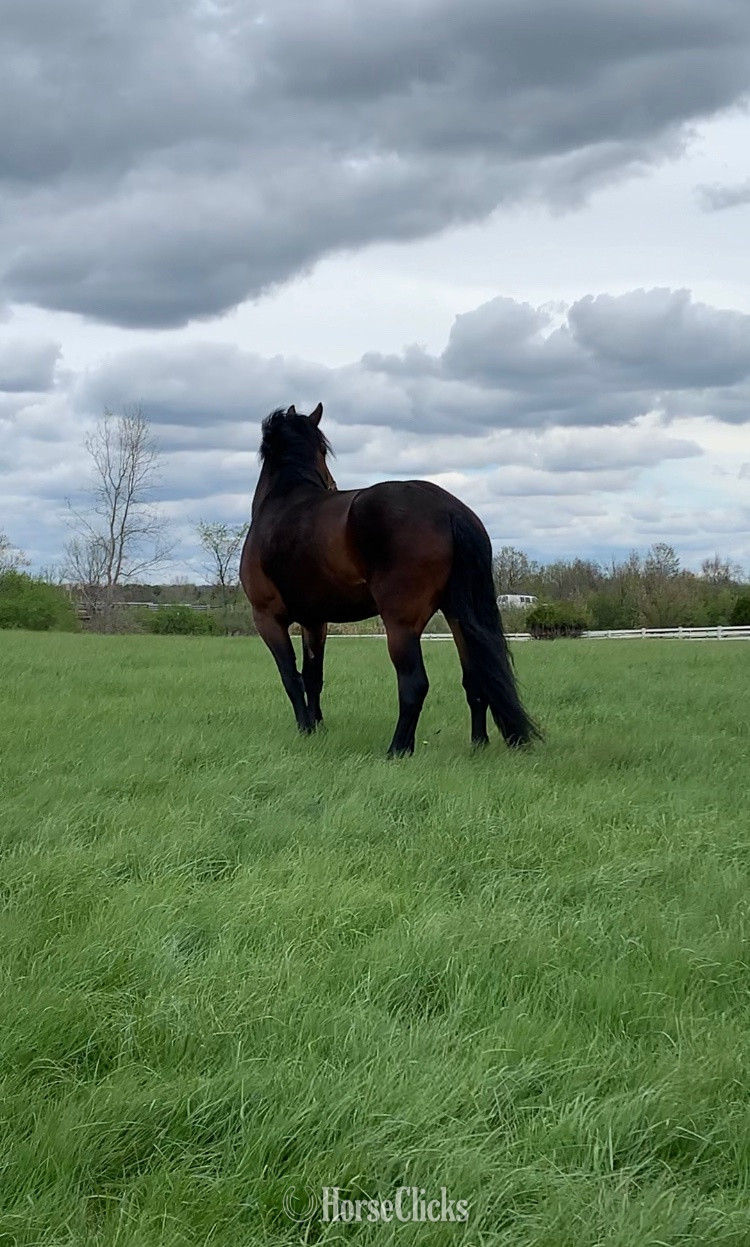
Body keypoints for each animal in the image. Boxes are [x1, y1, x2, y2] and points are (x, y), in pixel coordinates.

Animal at [239, 403, 540, 757]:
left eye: (325, 450)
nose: (331, 485)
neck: (282, 501)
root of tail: (448, 509)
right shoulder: (315, 621)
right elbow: (313, 676)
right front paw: (317, 728)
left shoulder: (267, 617)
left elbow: (290, 676)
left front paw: (305, 729)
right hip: (457, 614)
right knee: (475, 678)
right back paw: (477, 744)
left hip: (400, 623)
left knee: (414, 683)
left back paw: (398, 749)